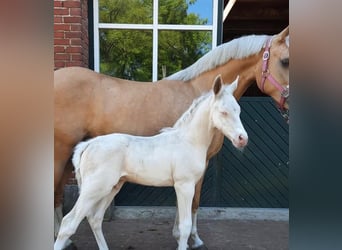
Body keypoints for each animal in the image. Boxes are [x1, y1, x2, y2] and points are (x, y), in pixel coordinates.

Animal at [53, 75, 247, 250]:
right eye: (223, 112)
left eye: (238, 110)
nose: (242, 139)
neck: (188, 140)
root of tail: (88, 145)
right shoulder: (185, 185)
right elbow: (184, 227)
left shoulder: (182, 186)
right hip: (93, 188)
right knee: (68, 223)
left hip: (112, 187)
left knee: (95, 219)